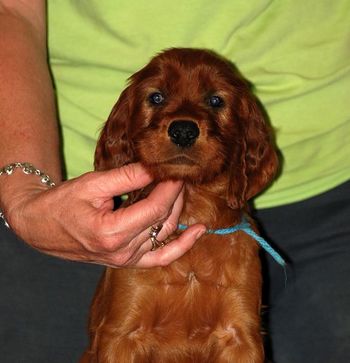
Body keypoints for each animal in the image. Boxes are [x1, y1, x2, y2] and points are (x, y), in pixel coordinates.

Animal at [82, 48, 278, 363]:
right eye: (156, 97)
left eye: (215, 100)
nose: (183, 131)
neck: (193, 208)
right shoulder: (121, 334)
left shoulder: (240, 335)